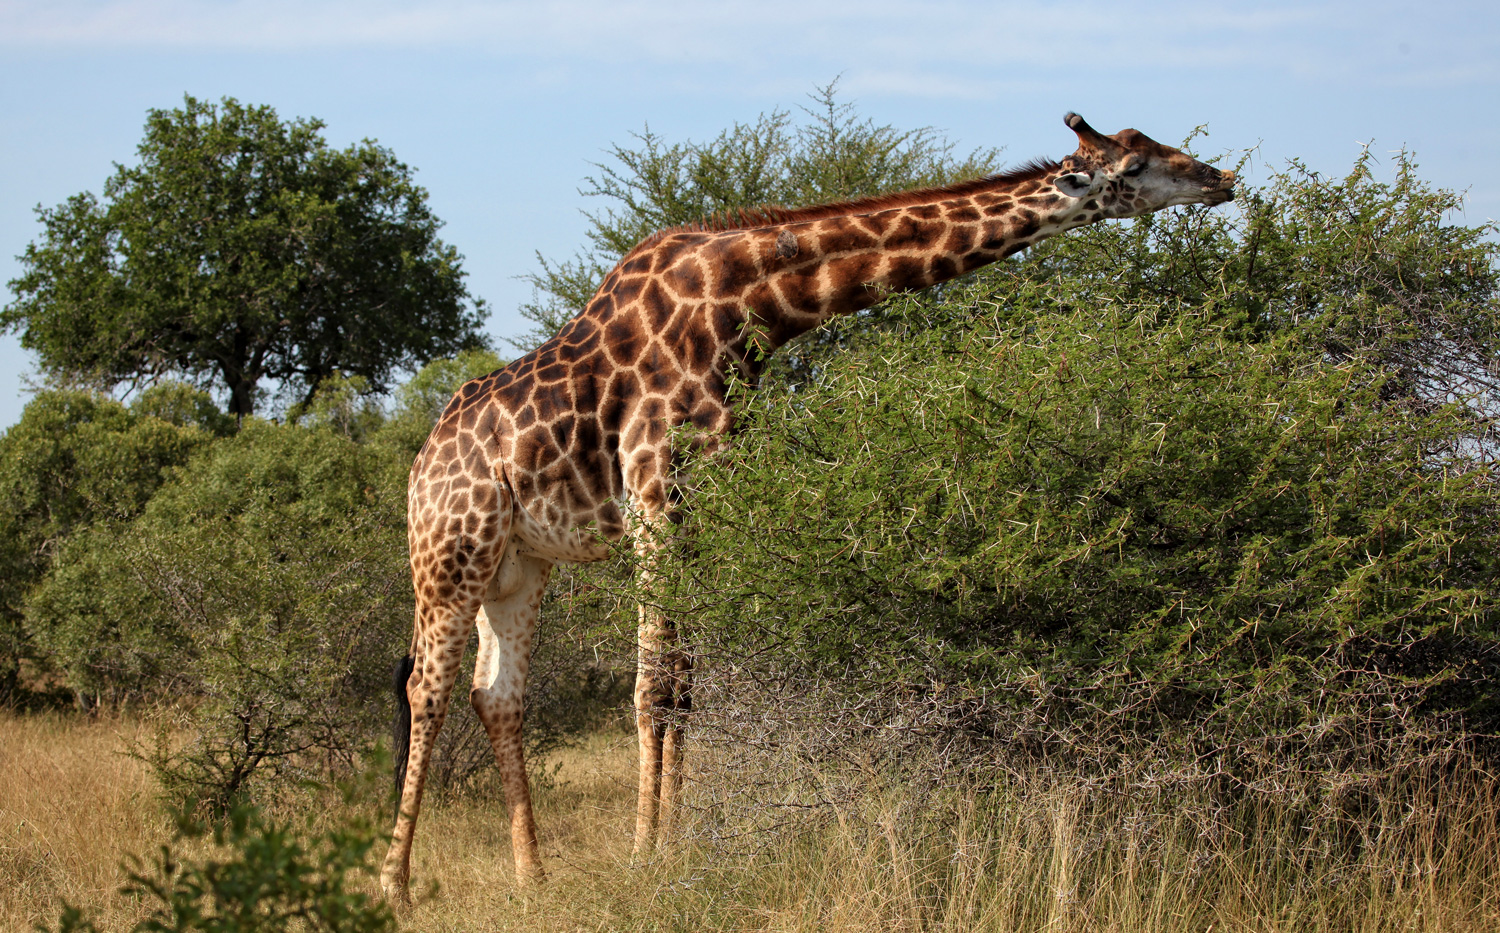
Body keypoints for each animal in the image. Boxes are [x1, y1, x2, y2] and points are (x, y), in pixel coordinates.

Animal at [381, 113, 1236, 906]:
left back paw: (532, 874)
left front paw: (678, 847)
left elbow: (686, 687)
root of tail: (421, 465)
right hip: (450, 553)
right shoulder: (656, 491)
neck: (750, 304)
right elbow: (653, 685)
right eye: (1135, 166)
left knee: (497, 696)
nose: (1221, 178)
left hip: (520, 566)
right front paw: (644, 854)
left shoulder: (708, 499)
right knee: (426, 687)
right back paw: (395, 882)